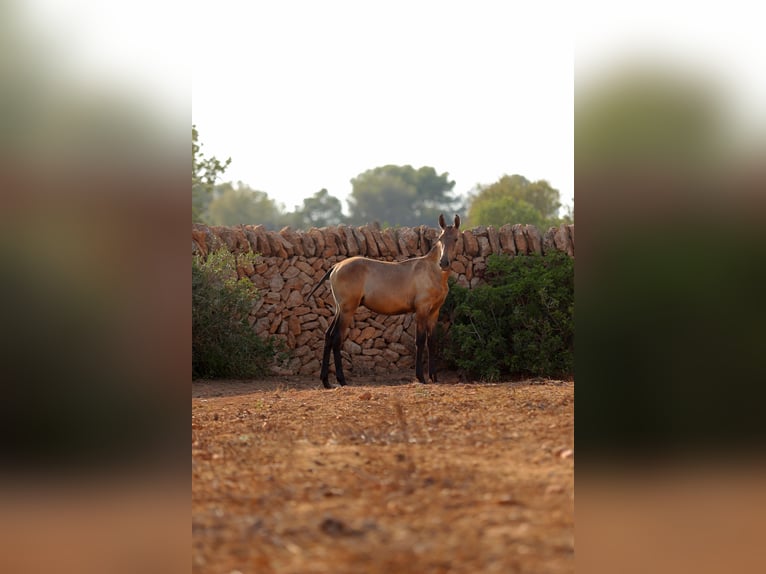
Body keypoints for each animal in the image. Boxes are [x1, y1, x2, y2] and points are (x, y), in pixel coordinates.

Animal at [308, 214, 461, 388]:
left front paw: (434, 377)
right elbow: (420, 341)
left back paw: (326, 381)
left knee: (328, 336)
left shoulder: (434, 312)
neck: (432, 271)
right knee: (336, 338)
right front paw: (421, 377)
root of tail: (336, 266)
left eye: (456, 239)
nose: (444, 262)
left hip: (339, 310)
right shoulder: (421, 310)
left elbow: (432, 342)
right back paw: (341, 380)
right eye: (440, 239)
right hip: (347, 310)